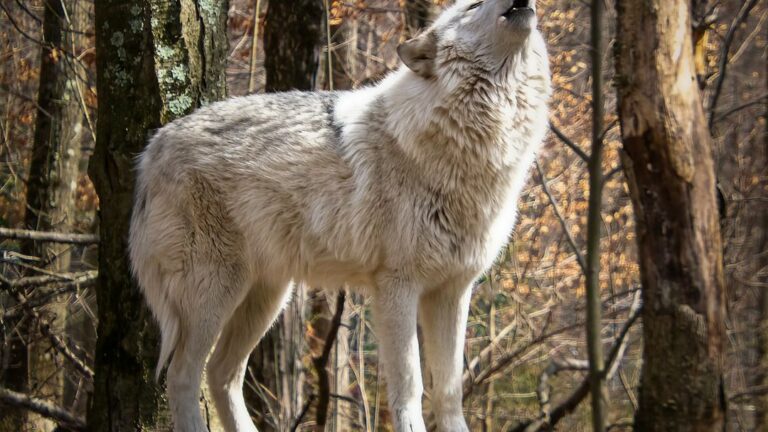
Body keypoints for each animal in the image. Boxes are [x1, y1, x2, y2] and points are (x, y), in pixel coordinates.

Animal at [129, 0, 550, 430]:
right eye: (473, 5)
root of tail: (151, 150)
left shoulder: (453, 291)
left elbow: (450, 391)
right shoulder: (397, 285)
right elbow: (410, 385)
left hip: (267, 298)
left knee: (221, 374)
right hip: (216, 293)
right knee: (182, 375)